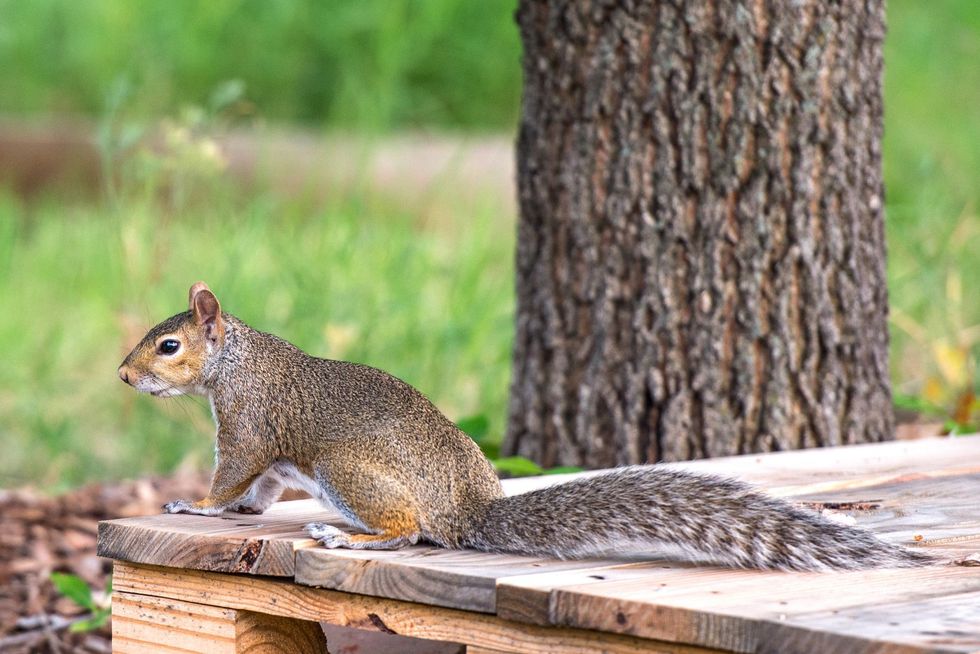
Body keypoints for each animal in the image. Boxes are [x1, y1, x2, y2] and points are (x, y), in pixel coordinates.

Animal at [117, 282, 932, 571]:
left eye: (170, 346)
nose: (124, 377)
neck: (240, 362)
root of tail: (466, 505)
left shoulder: (250, 428)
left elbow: (229, 480)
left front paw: (195, 505)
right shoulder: (272, 459)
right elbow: (254, 496)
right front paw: (229, 513)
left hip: (348, 471)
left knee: (411, 530)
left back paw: (346, 535)